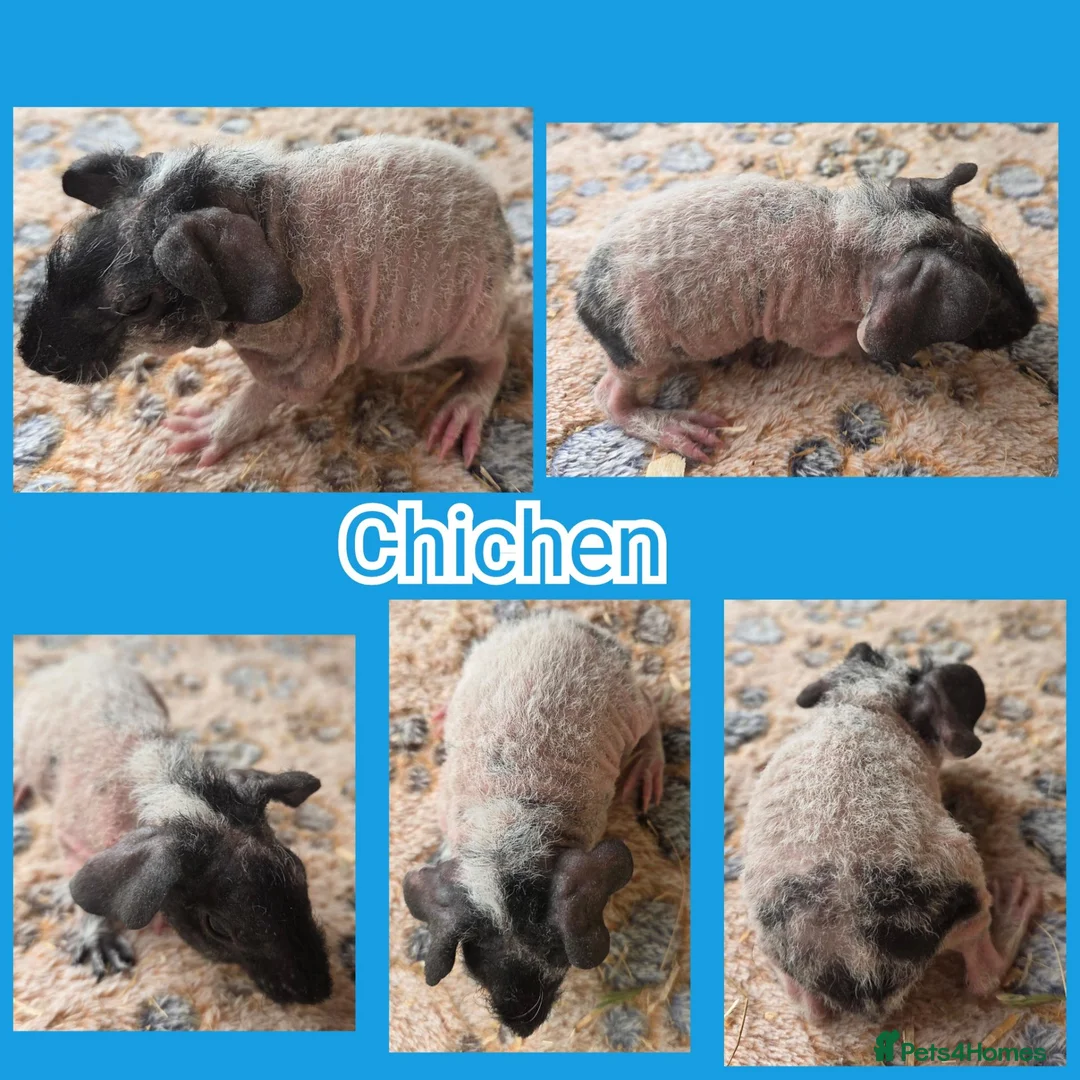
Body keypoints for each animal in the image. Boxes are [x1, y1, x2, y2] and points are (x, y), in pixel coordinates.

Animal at [13, 654, 332, 1004]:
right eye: (216, 927)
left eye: (299, 870)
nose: (319, 992)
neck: (172, 788)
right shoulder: (72, 839)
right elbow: (83, 897)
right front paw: (103, 953)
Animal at [18, 135, 514, 468]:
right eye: (66, 250)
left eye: (138, 304)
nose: (30, 357)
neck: (264, 218)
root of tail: (501, 228)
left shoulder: (303, 356)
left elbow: (264, 394)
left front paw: (197, 430)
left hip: (450, 331)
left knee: (496, 354)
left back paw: (458, 418)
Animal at [402, 611, 666, 1038]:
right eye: (474, 961)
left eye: (557, 955)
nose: (521, 1026)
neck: (505, 839)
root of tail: (564, 620)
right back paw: (441, 716)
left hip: (630, 706)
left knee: (652, 709)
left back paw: (646, 776)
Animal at [576, 163, 1038, 460]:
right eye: (986, 305)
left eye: (994, 254)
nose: (1032, 321)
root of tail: (584, 300)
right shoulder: (813, 328)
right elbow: (855, 345)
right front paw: (912, 361)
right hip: (643, 348)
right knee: (607, 396)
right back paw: (685, 433)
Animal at [742, 642, 1042, 1021]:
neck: (863, 703)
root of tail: (860, 969)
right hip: (967, 880)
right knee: (984, 977)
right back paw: (1016, 903)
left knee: (812, 1012)